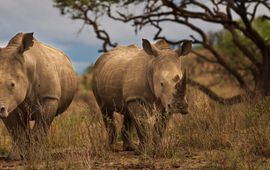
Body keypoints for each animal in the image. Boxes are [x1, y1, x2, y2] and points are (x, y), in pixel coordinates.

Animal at [0, 32, 77, 160]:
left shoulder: (49, 98)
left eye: (12, 84)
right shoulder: (10, 103)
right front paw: (15, 158)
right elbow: (15, 129)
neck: (27, 66)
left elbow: (41, 127)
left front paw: (36, 157)